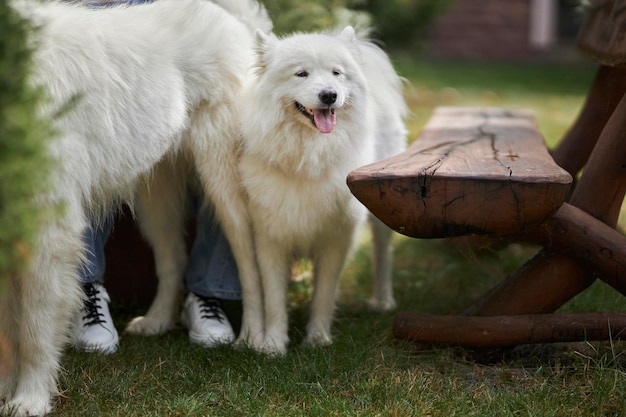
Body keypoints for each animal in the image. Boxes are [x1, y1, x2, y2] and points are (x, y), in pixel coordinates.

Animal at [0, 1, 268, 414]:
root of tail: (227, 17)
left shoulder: (49, 232)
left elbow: (33, 329)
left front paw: (30, 398)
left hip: (223, 184)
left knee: (248, 261)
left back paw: (254, 337)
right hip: (155, 197)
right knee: (172, 258)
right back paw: (156, 321)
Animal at [236, 26, 408, 354]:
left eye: (336, 73)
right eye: (301, 74)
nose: (329, 94)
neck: (308, 157)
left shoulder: (336, 237)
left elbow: (324, 293)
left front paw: (317, 339)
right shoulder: (270, 237)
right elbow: (274, 298)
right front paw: (273, 344)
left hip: (383, 210)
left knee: (383, 254)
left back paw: (383, 300)